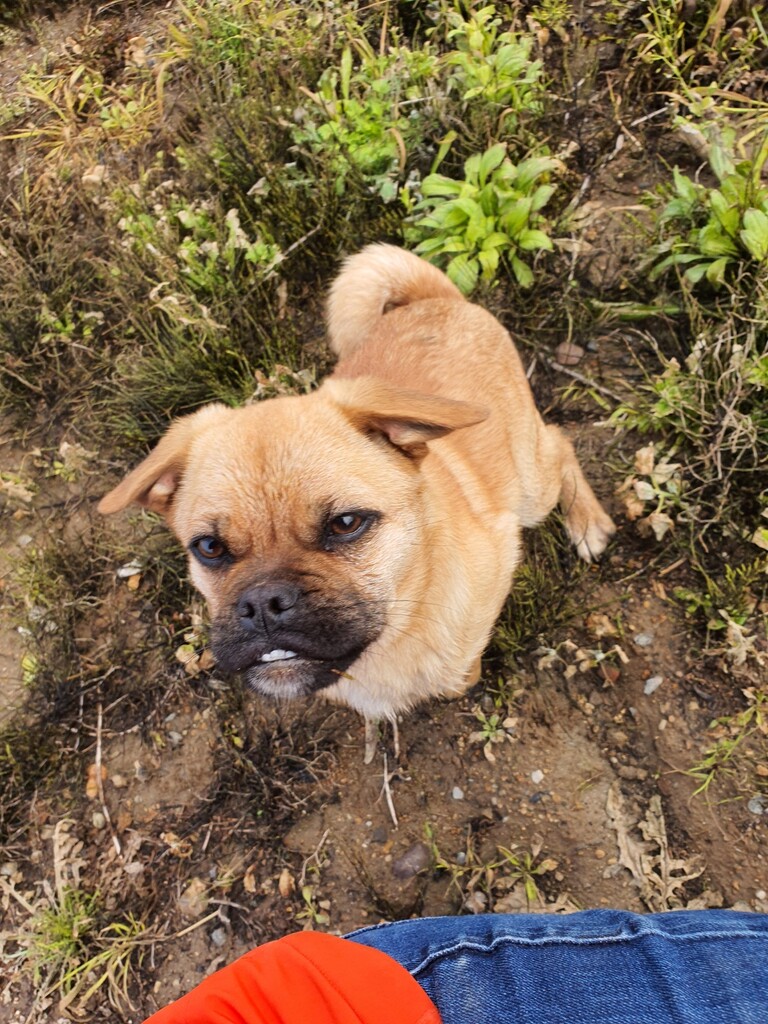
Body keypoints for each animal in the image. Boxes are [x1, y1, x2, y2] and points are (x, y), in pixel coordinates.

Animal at [99, 245, 615, 758]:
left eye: (346, 523)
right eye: (208, 548)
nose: (263, 603)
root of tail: (437, 299)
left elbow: (463, 666)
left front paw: (461, 680)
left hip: (531, 489)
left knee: (561, 442)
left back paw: (588, 522)